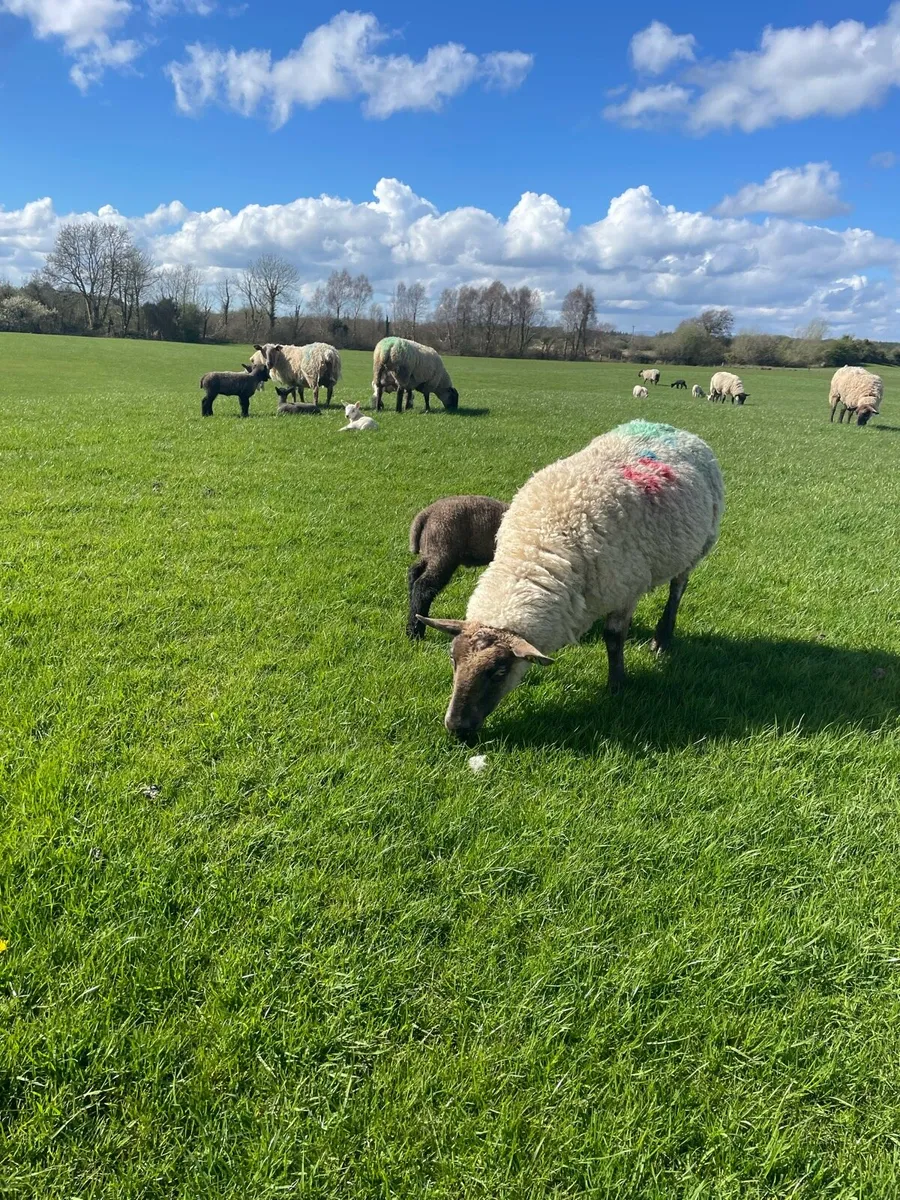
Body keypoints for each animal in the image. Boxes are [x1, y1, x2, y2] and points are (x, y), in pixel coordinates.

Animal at [407, 496, 509, 640]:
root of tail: (426, 514)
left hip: (429, 552)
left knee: (413, 574)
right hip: (443, 553)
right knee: (423, 586)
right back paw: (415, 632)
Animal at [419, 419, 724, 738]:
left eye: (499, 672)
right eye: (453, 659)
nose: (456, 727)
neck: (538, 548)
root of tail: (669, 427)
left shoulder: (626, 588)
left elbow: (613, 638)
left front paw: (617, 686)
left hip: (697, 547)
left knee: (678, 588)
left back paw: (662, 639)